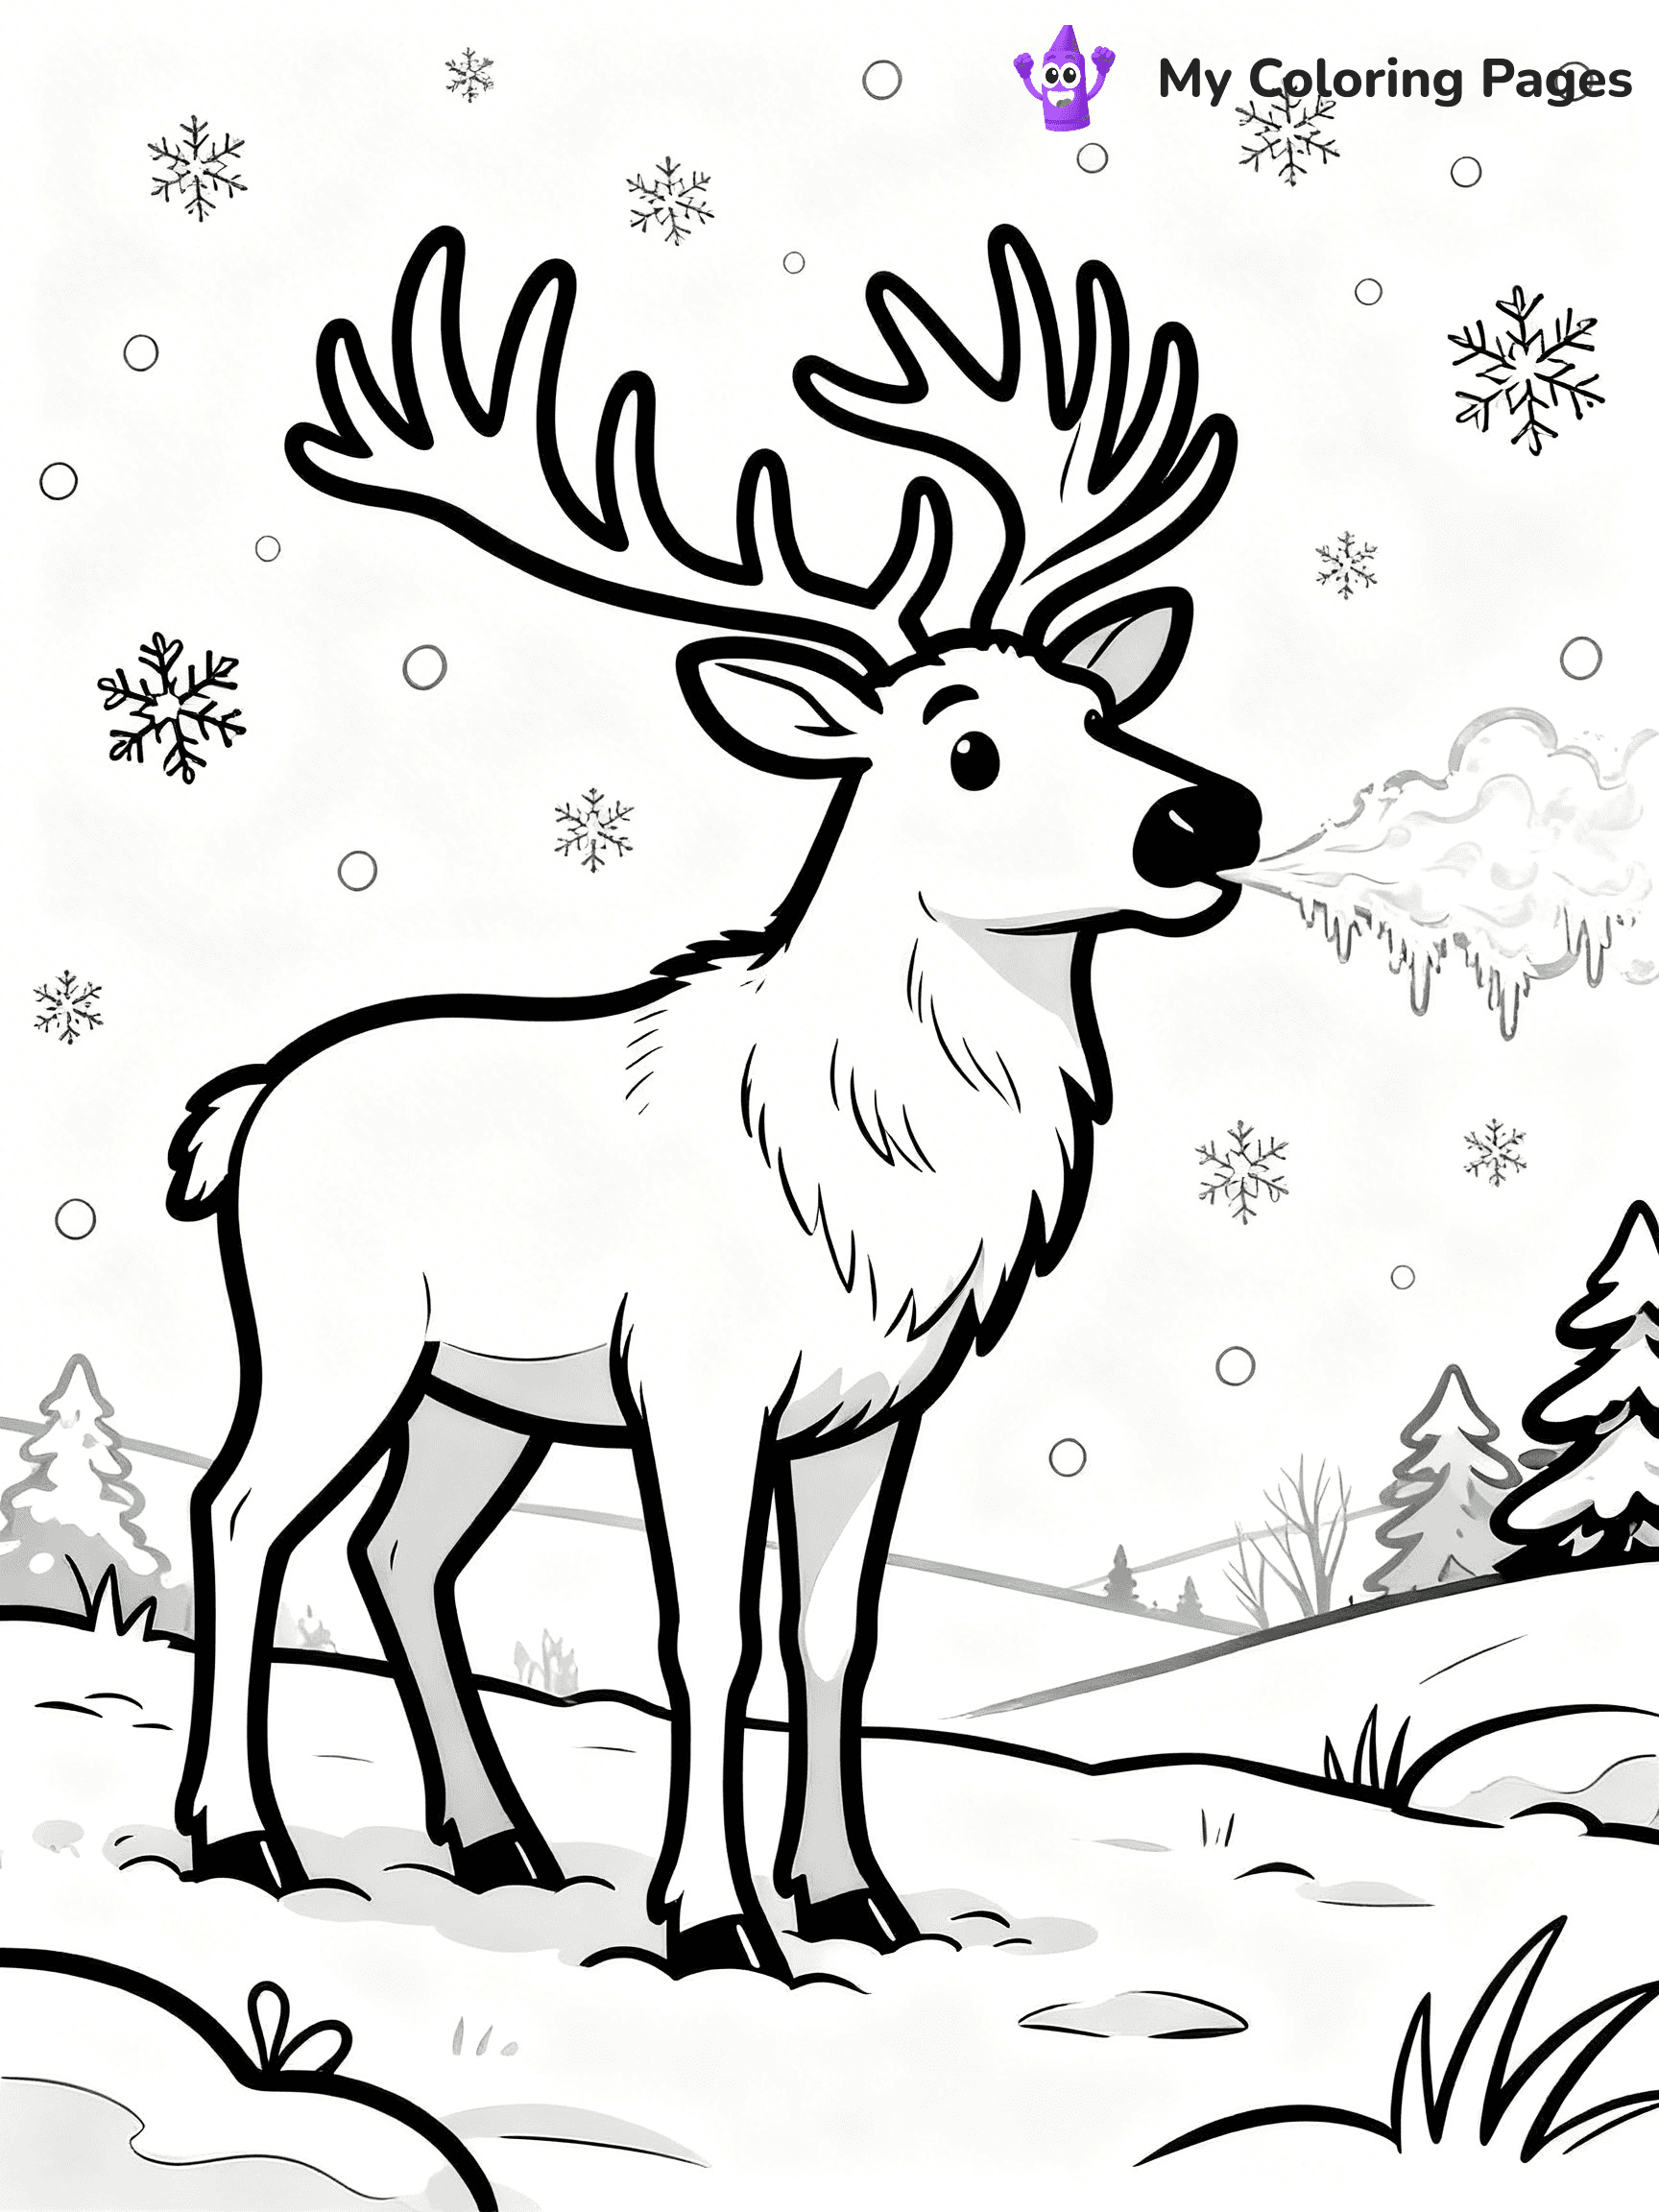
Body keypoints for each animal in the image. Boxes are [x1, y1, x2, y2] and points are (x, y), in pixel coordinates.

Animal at [166, 224, 1259, 1979]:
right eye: (965, 750)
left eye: (1096, 711)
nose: (1206, 814)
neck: (876, 1171)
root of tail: (244, 1108)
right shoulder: (694, 1373)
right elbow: (706, 1631)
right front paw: (713, 1917)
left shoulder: (877, 1399)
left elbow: (833, 1634)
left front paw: (859, 1897)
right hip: (333, 1330)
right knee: (242, 1509)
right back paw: (241, 1832)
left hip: (478, 1394)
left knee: (399, 1548)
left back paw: (499, 1840)